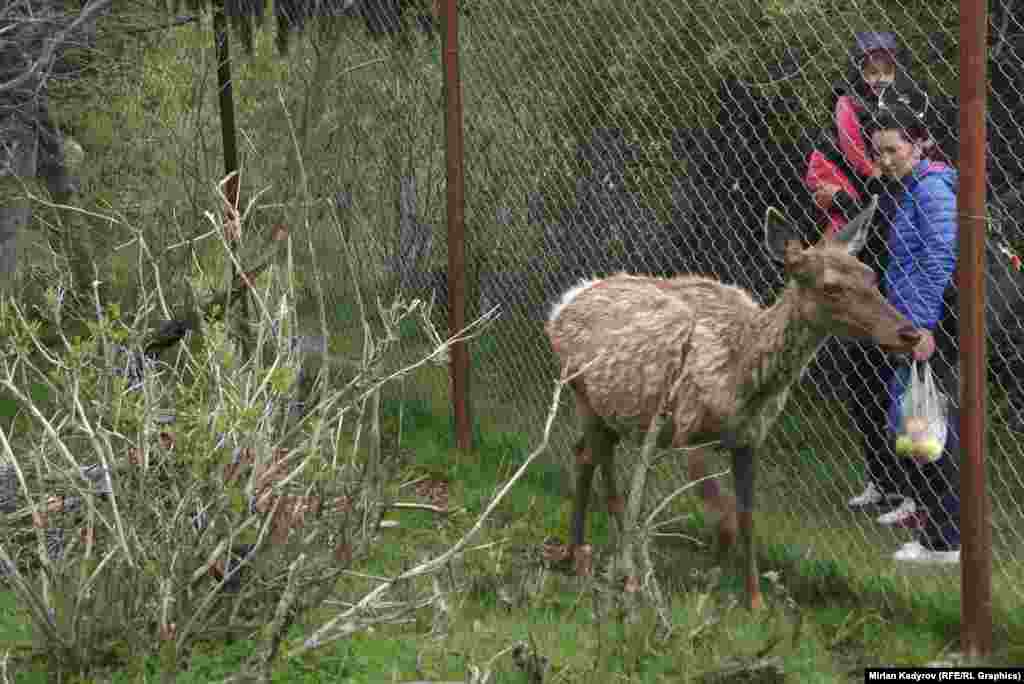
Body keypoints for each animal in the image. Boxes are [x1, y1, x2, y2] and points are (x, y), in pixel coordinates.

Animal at [544, 197, 921, 610]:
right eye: (831, 287)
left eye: (871, 276)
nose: (909, 333)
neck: (746, 383)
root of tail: (562, 305)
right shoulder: (688, 432)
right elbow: (724, 523)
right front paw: (703, 584)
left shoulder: (750, 440)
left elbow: (746, 518)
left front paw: (754, 600)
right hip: (583, 393)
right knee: (589, 458)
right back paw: (591, 561)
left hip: (616, 411)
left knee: (590, 454)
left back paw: (598, 554)